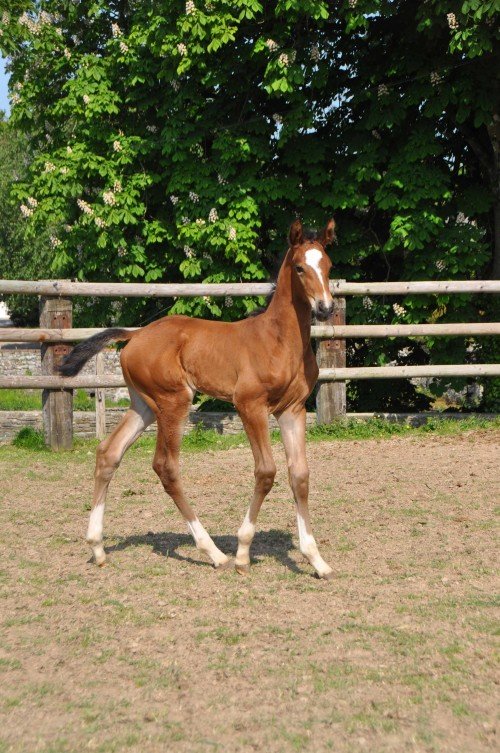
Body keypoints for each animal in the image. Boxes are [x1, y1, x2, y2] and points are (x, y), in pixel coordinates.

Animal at [60, 218, 336, 579]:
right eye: (300, 267)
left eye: (329, 266)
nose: (326, 308)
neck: (279, 341)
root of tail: (136, 334)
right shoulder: (249, 405)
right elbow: (265, 471)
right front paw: (243, 552)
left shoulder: (293, 410)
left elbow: (300, 475)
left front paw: (316, 559)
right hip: (174, 400)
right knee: (165, 466)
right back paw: (214, 552)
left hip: (143, 405)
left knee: (109, 453)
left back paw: (97, 547)